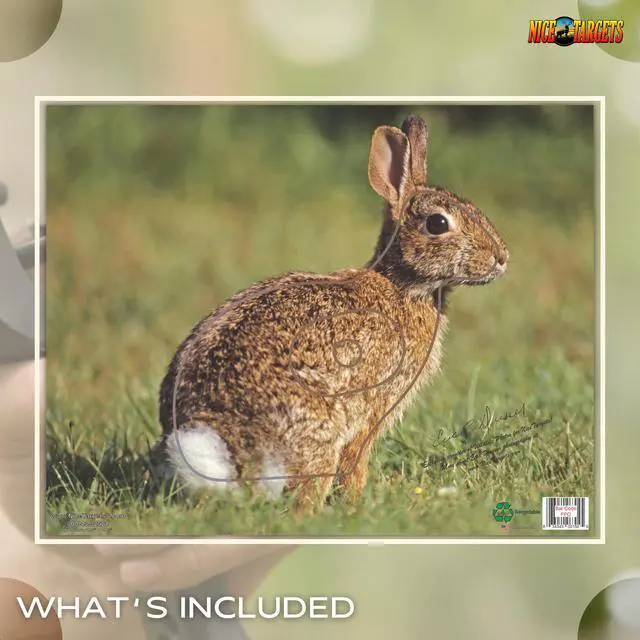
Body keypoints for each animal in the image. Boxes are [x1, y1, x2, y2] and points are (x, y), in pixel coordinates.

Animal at [151, 114, 509, 512]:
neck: (402, 286)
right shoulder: (371, 410)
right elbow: (355, 462)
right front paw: (356, 505)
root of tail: (222, 445)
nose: (501, 258)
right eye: (438, 224)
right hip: (318, 432)